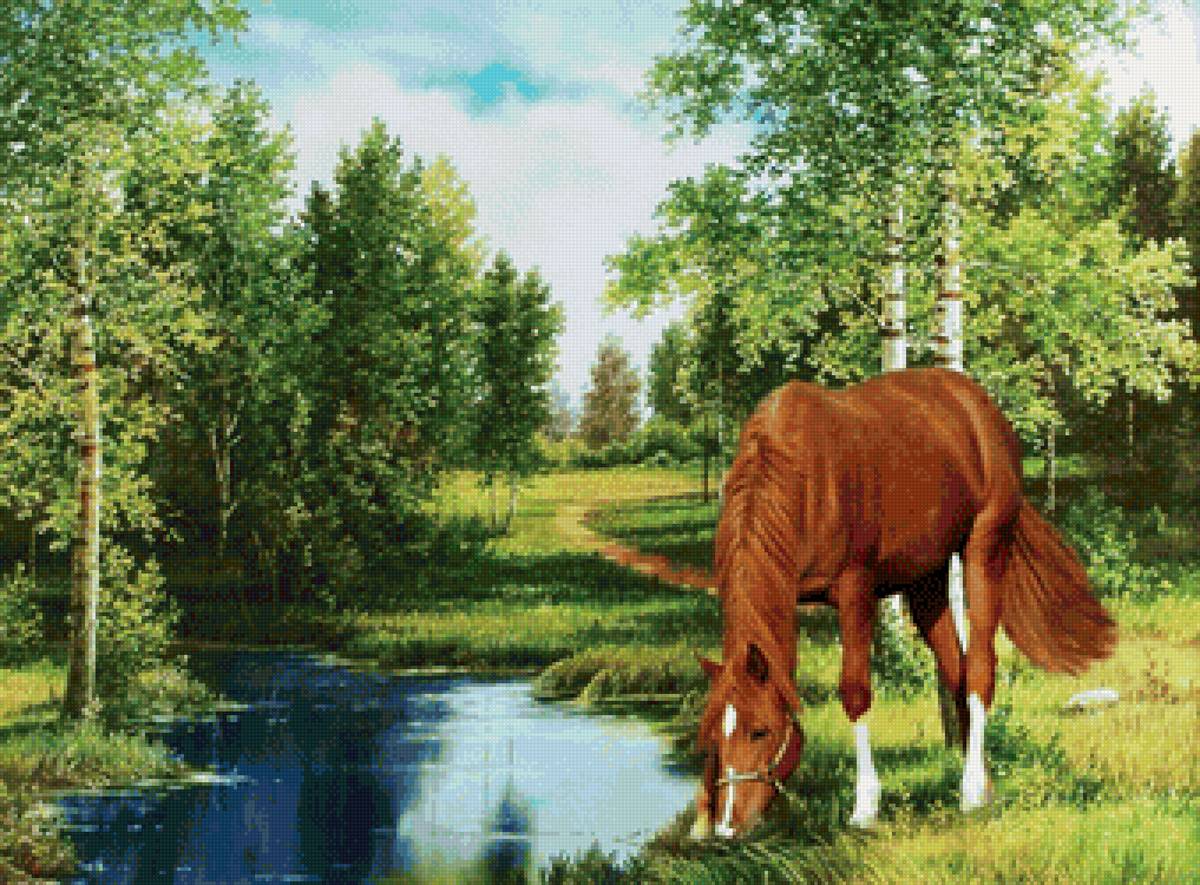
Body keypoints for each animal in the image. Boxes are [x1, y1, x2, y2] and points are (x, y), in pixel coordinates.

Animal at [692, 367, 1115, 839]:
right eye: (714, 736)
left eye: (760, 732)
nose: (729, 826)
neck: (801, 478)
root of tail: (980, 405)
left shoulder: (855, 593)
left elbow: (854, 692)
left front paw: (864, 807)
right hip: (925, 581)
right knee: (957, 671)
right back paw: (983, 785)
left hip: (985, 547)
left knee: (980, 670)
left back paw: (971, 792)